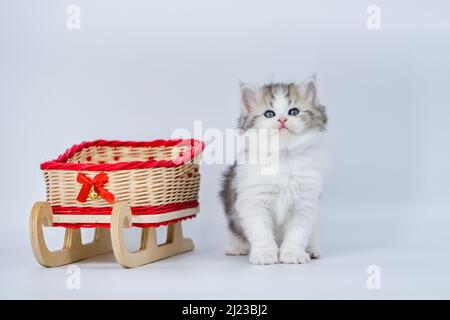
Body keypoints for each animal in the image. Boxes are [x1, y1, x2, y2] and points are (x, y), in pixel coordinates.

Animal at [219, 77, 326, 264]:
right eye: (269, 114)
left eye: (293, 112)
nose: (282, 120)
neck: (282, 155)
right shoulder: (254, 201)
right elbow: (260, 231)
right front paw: (264, 254)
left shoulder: (305, 202)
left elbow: (298, 233)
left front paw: (292, 254)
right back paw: (236, 248)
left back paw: (312, 249)